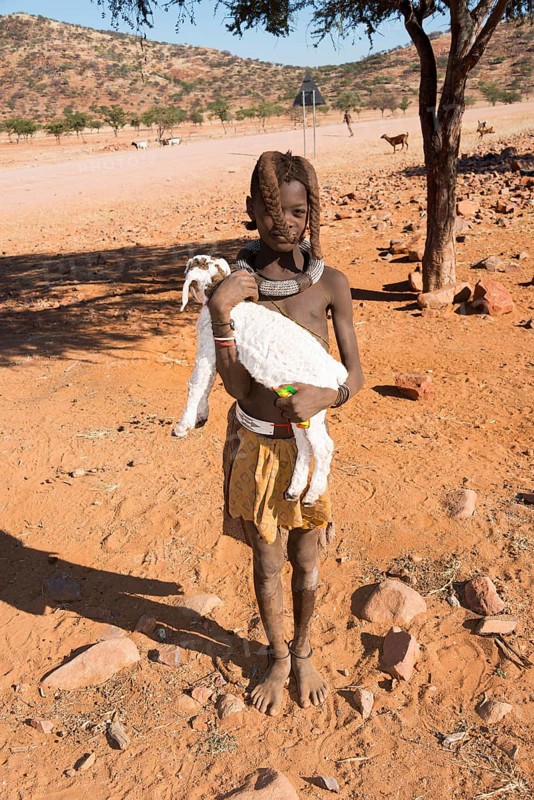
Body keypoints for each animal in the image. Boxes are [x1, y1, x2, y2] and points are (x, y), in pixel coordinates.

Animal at [174, 255, 348, 506]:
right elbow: (207, 381)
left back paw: (311, 495)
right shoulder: (214, 348)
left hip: (313, 404)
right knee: (305, 445)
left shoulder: (207, 340)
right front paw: (200, 415)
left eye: (191, 267)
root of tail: (335, 373)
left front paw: (182, 425)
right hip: (298, 407)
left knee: (323, 447)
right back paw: (294, 490)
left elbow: (197, 382)